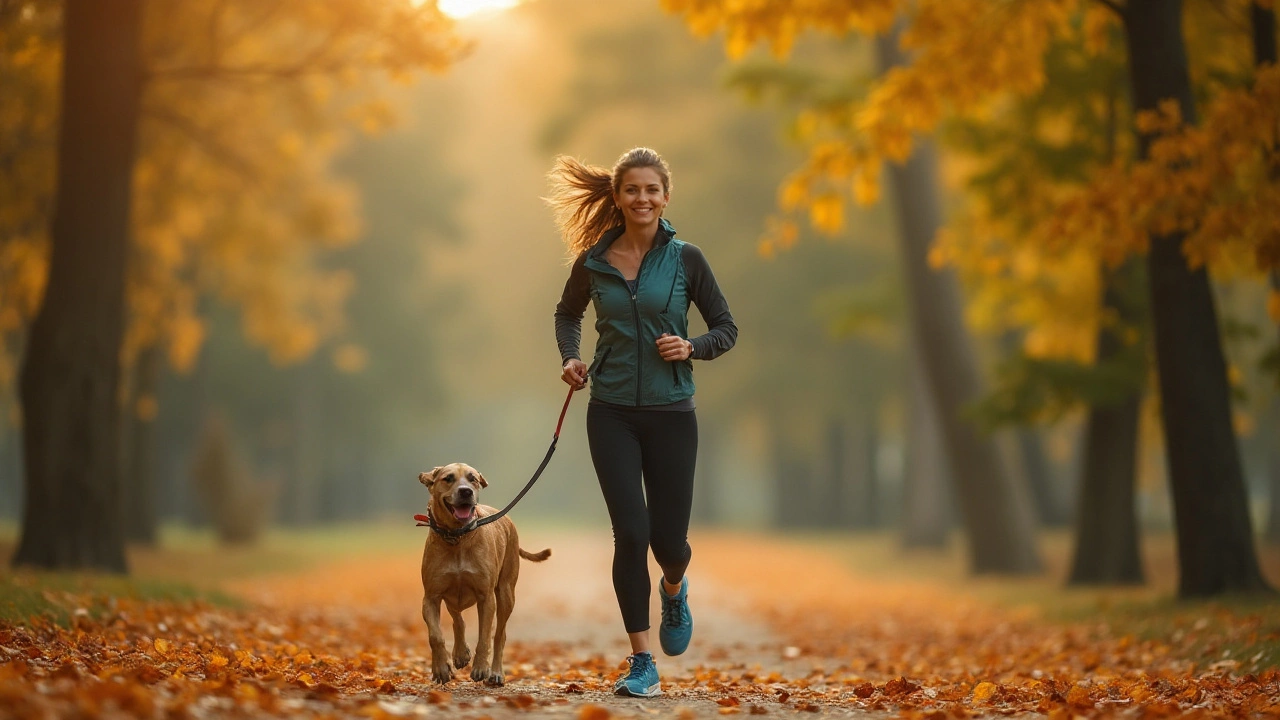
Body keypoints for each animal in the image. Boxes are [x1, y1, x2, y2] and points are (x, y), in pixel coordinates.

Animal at [414, 458, 545, 681]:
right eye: (448, 478)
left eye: (472, 478)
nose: (466, 491)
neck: (457, 537)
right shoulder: (431, 596)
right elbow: (435, 635)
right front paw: (441, 667)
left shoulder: (486, 597)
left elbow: (485, 636)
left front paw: (481, 667)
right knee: (458, 618)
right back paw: (460, 654)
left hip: (506, 592)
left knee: (500, 634)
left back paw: (496, 672)